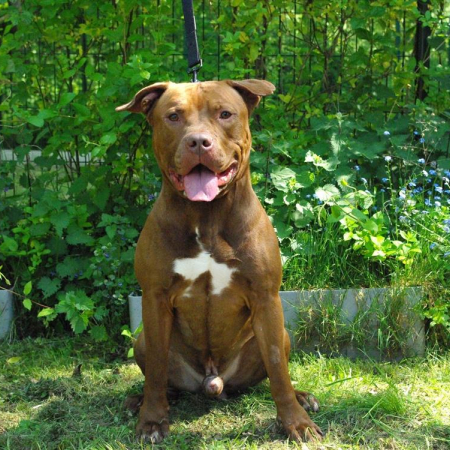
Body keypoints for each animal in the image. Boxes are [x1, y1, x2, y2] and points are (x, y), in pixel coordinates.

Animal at [116, 79, 323, 443]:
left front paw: (296, 422)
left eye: (225, 114)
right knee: (162, 379)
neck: (207, 215)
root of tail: (213, 382)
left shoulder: (265, 297)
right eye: (173, 116)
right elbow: (155, 368)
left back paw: (302, 397)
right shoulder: (154, 297)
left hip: (282, 333)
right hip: (142, 339)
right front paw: (152, 421)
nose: (198, 141)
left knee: (272, 372)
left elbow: (277, 369)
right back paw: (138, 400)